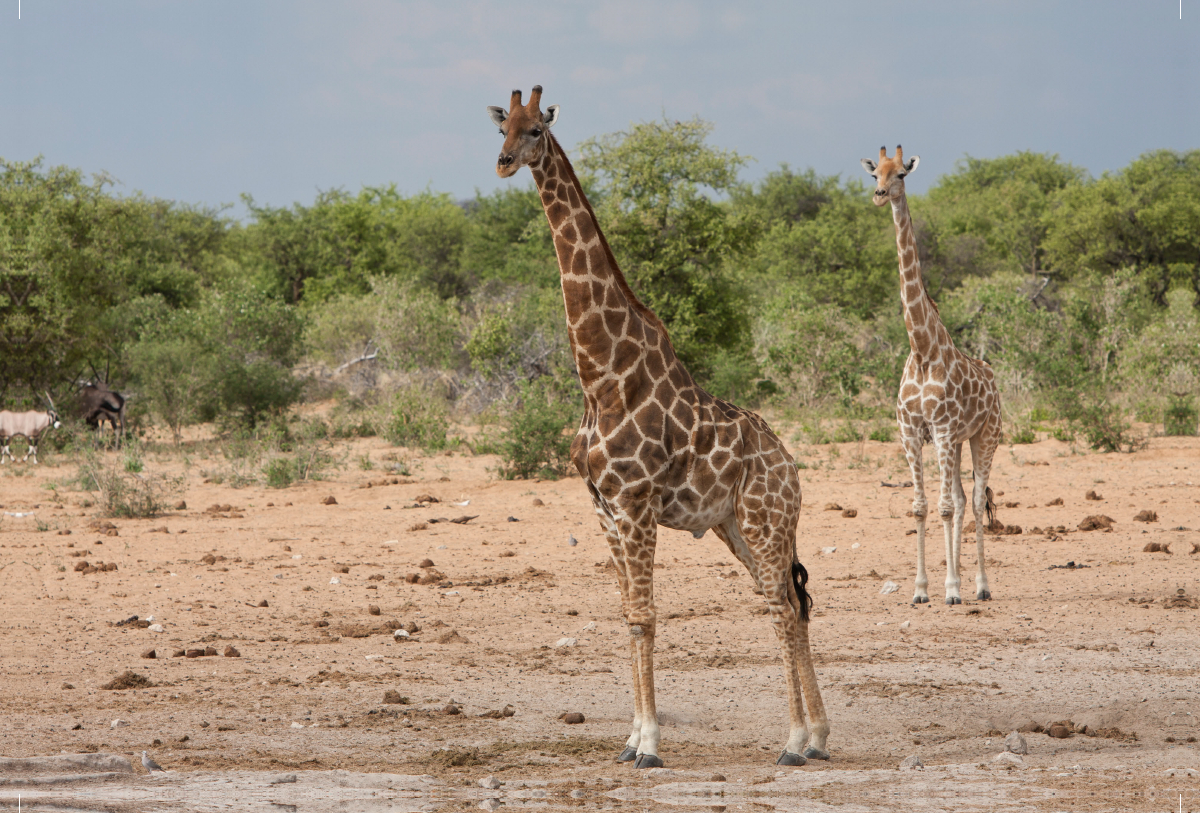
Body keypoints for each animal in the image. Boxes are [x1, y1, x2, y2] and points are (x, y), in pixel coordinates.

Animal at [487, 89, 825, 772]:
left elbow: (645, 616)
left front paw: (648, 746)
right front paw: (628, 740)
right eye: (500, 127)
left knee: (781, 606)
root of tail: (789, 464)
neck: (601, 376)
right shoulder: (603, 509)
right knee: (791, 603)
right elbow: (627, 615)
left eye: (536, 130)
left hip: (764, 519)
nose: (504, 162)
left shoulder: (636, 503)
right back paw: (818, 737)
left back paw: (794, 743)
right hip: (736, 527)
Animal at [864, 145, 1003, 604]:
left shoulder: (941, 430)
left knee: (973, 500)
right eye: (875, 171)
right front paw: (922, 589)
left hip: (984, 436)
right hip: (958, 442)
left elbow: (943, 506)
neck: (922, 349)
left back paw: (977, 585)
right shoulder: (911, 432)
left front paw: (952, 589)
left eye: (903, 174)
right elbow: (922, 507)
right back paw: (957, 580)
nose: (880, 195)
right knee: (959, 500)